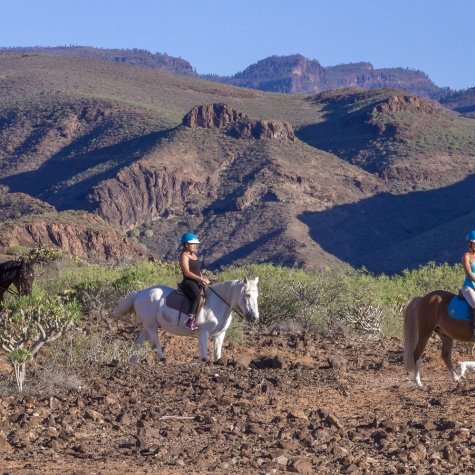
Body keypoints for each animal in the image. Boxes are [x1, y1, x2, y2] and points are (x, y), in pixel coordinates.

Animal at [112, 278, 260, 362]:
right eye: (247, 295)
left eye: (257, 296)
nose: (254, 317)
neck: (217, 303)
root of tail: (139, 293)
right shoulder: (203, 333)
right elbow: (203, 356)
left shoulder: (219, 335)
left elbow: (217, 356)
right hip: (152, 327)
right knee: (156, 344)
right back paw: (162, 360)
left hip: (147, 326)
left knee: (138, 343)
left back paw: (132, 362)